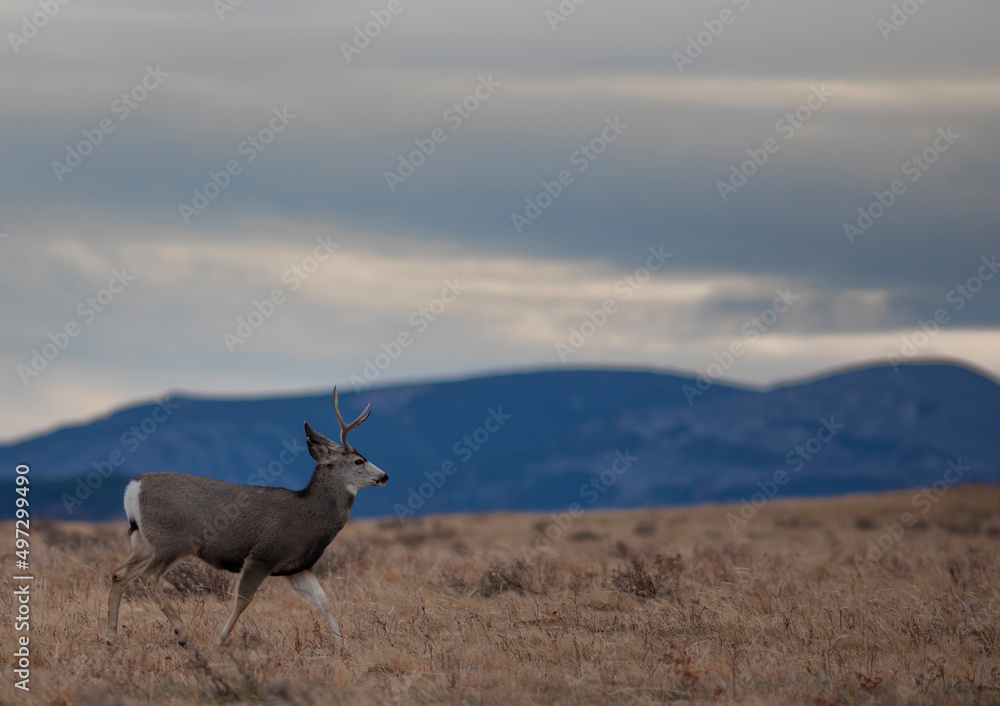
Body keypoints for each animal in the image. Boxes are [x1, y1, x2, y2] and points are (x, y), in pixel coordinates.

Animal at [105, 387, 388, 650]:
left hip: (143, 541)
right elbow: (243, 600)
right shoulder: (262, 555)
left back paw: (111, 638)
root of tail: (134, 488)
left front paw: (342, 645)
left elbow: (323, 600)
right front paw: (220, 640)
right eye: (359, 460)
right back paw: (182, 633)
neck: (309, 515)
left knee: (120, 574)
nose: (385, 476)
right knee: (149, 576)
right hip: (173, 540)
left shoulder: (298, 566)